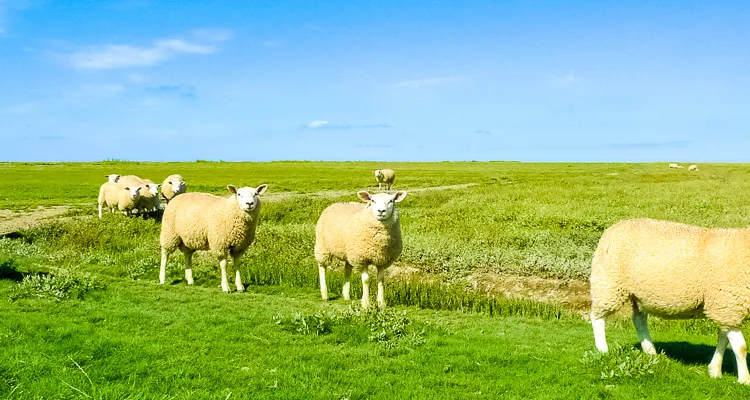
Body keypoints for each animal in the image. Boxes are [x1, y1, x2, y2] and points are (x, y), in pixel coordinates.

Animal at [592, 219, 750, 384]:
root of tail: (614, 226)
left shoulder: (726, 308)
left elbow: (724, 340)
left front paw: (715, 370)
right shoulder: (728, 305)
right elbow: (741, 348)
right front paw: (744, 380)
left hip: (638, 295)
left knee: (639, 320)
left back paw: (650, 352)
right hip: (608, 283)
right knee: (597, 317)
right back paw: (603, 350)